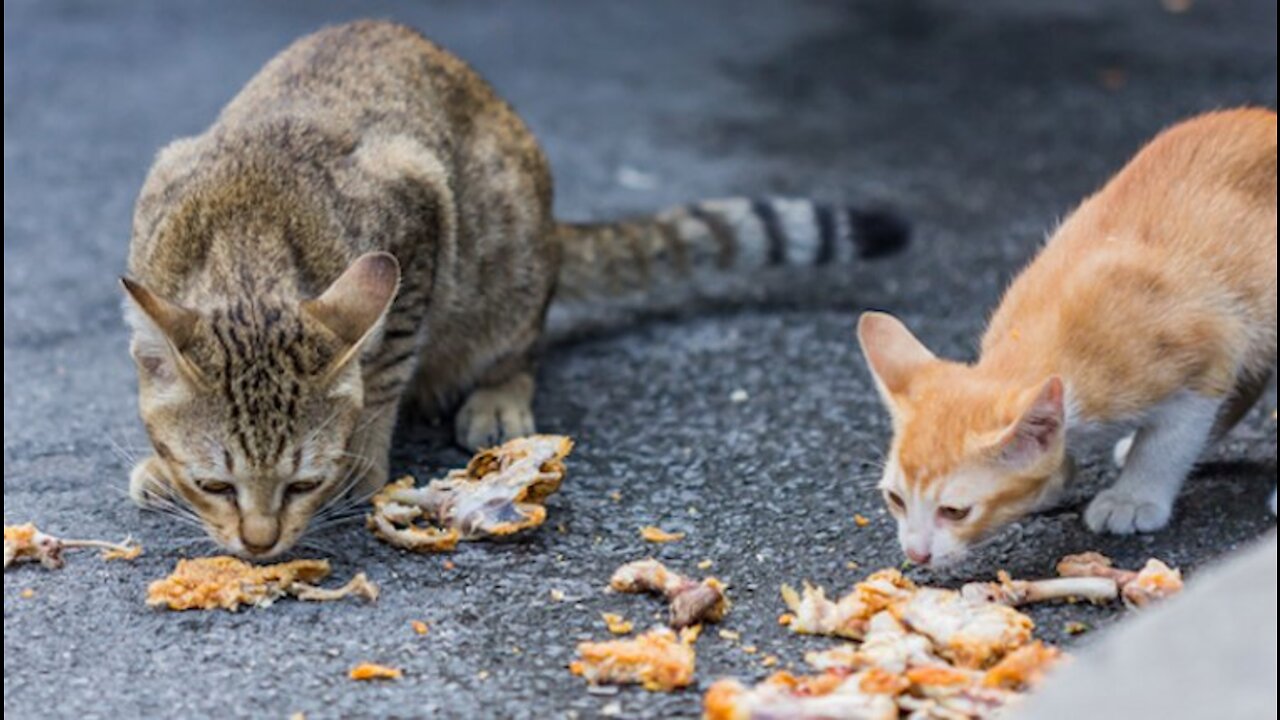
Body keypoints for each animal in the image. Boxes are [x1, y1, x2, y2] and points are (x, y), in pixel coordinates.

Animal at [860, 107, 1269, 566]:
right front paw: (1057, 476)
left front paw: (1135, 495)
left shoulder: (1207, 352)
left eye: (954, 511)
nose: (915, 555)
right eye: (895, 499)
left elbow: (1169, 441)